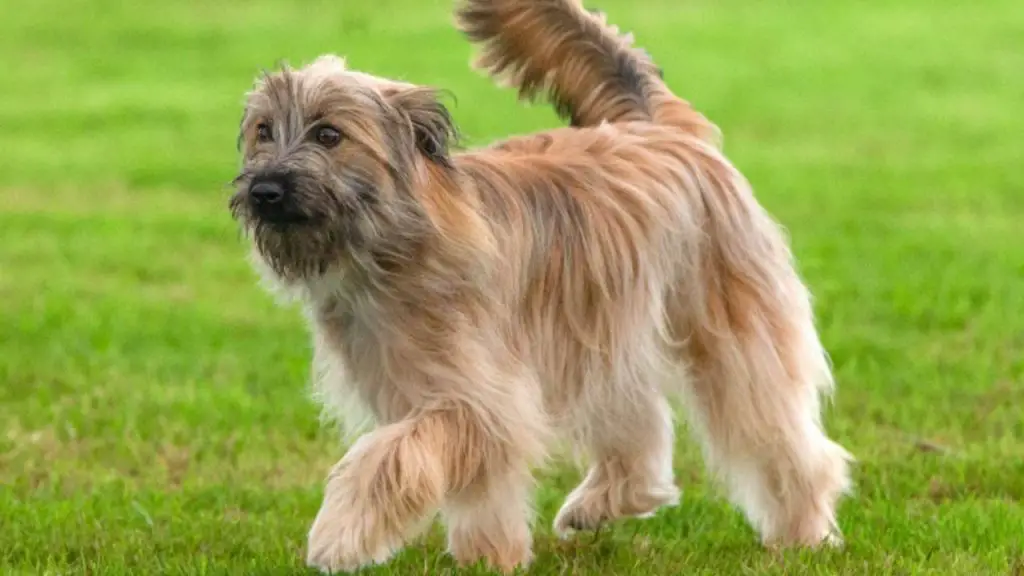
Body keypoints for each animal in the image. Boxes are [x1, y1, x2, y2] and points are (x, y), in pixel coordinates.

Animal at [230, 0, 847, 565]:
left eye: (329, 134)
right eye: (263, 131)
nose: (264, 192)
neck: (394, 246)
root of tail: (658, 127)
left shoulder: (478, 397)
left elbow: (391, 457)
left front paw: (340, 535)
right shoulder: (438, 389)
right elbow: (473, 485)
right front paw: (489, 557)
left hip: (729, 331)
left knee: (778, 433)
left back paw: (802, 533)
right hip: (602, 327)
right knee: (641, 425)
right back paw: (604, 502)